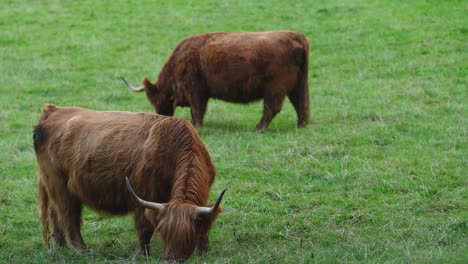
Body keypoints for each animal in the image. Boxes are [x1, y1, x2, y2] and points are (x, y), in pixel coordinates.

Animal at [33, 104, 227, 260]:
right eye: (164, 233)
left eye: (188, 236)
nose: (171, 259)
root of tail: (52, 111)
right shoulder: (144, 195)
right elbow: (145, 228)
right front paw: (141, 254)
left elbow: (205, 222)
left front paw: (204, 250)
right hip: (59, 184)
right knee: (68, 216)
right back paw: (82, 249)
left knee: (55, 212)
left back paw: (60, 245)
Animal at [120, 30, 310, 131]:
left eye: (155, 100)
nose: (160, 117)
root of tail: (293, 35)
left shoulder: (196, 91)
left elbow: (197, 110)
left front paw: (197, 126)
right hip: (297, 85)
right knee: (302, 104)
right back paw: (302, 126)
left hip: (275, 88)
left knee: (272, 108)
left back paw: (259, 128)